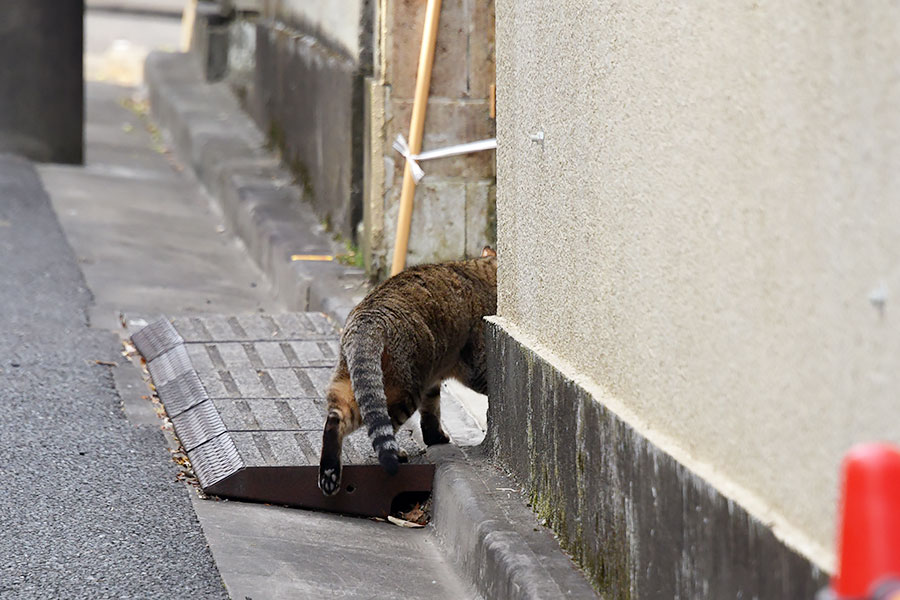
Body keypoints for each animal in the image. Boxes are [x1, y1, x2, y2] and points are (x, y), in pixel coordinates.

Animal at [318, 246, 500, 494]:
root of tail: (368, 318)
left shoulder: (432, 380)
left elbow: (431, 412)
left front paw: (436, 437)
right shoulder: (476, 369)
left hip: (351, 386)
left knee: (335, 422)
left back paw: (329, 474)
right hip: (405, 391)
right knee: (384, 425)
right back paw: (396, 454)